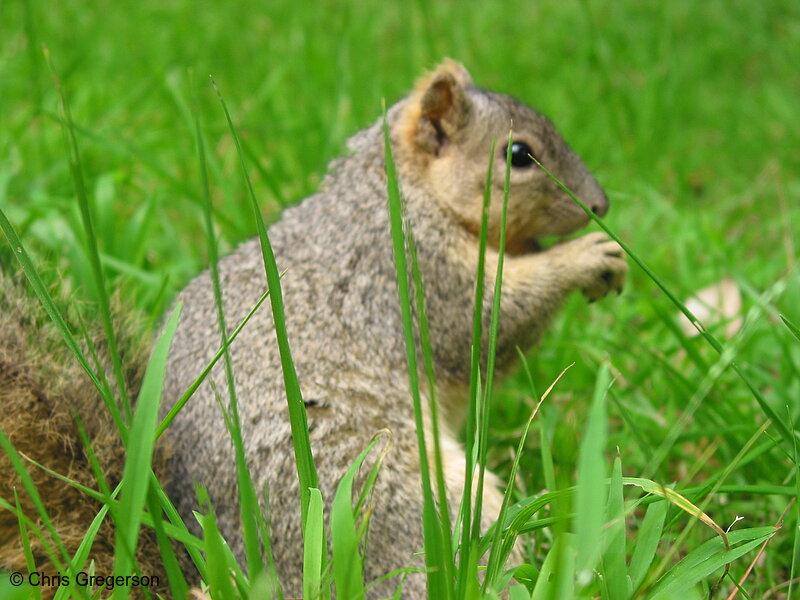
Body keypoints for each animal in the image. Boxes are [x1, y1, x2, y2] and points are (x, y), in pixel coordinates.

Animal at [0, 58, 624, 596]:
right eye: (519, 155)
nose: (601, 205)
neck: (398, 192)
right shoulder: (407, 271)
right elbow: (485, 324)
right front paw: (584, 257)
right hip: (386, 490)